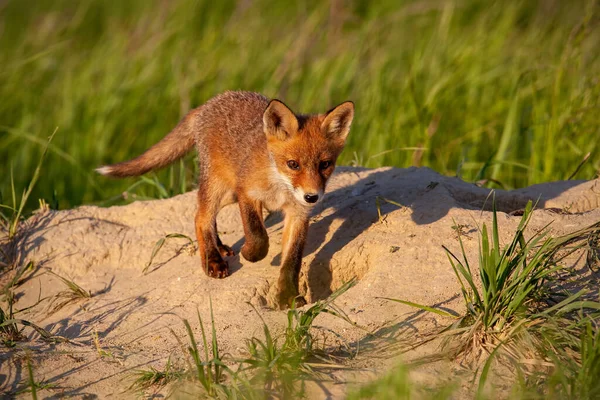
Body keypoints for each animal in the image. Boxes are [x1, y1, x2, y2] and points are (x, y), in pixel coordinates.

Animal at [96, 91, 354, 310]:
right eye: (293, 164)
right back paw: (213, 259)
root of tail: (212, 101)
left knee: (205, 215)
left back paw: (219, 247)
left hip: (229, 193)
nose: (312, 196)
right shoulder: (247, 193)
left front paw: (288, 297)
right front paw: (250, 254)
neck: (279, 186)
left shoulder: (298, 213)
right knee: (201, 217)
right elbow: (258, 236)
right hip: (219, 186)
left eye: (325, 164)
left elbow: (292, 261)